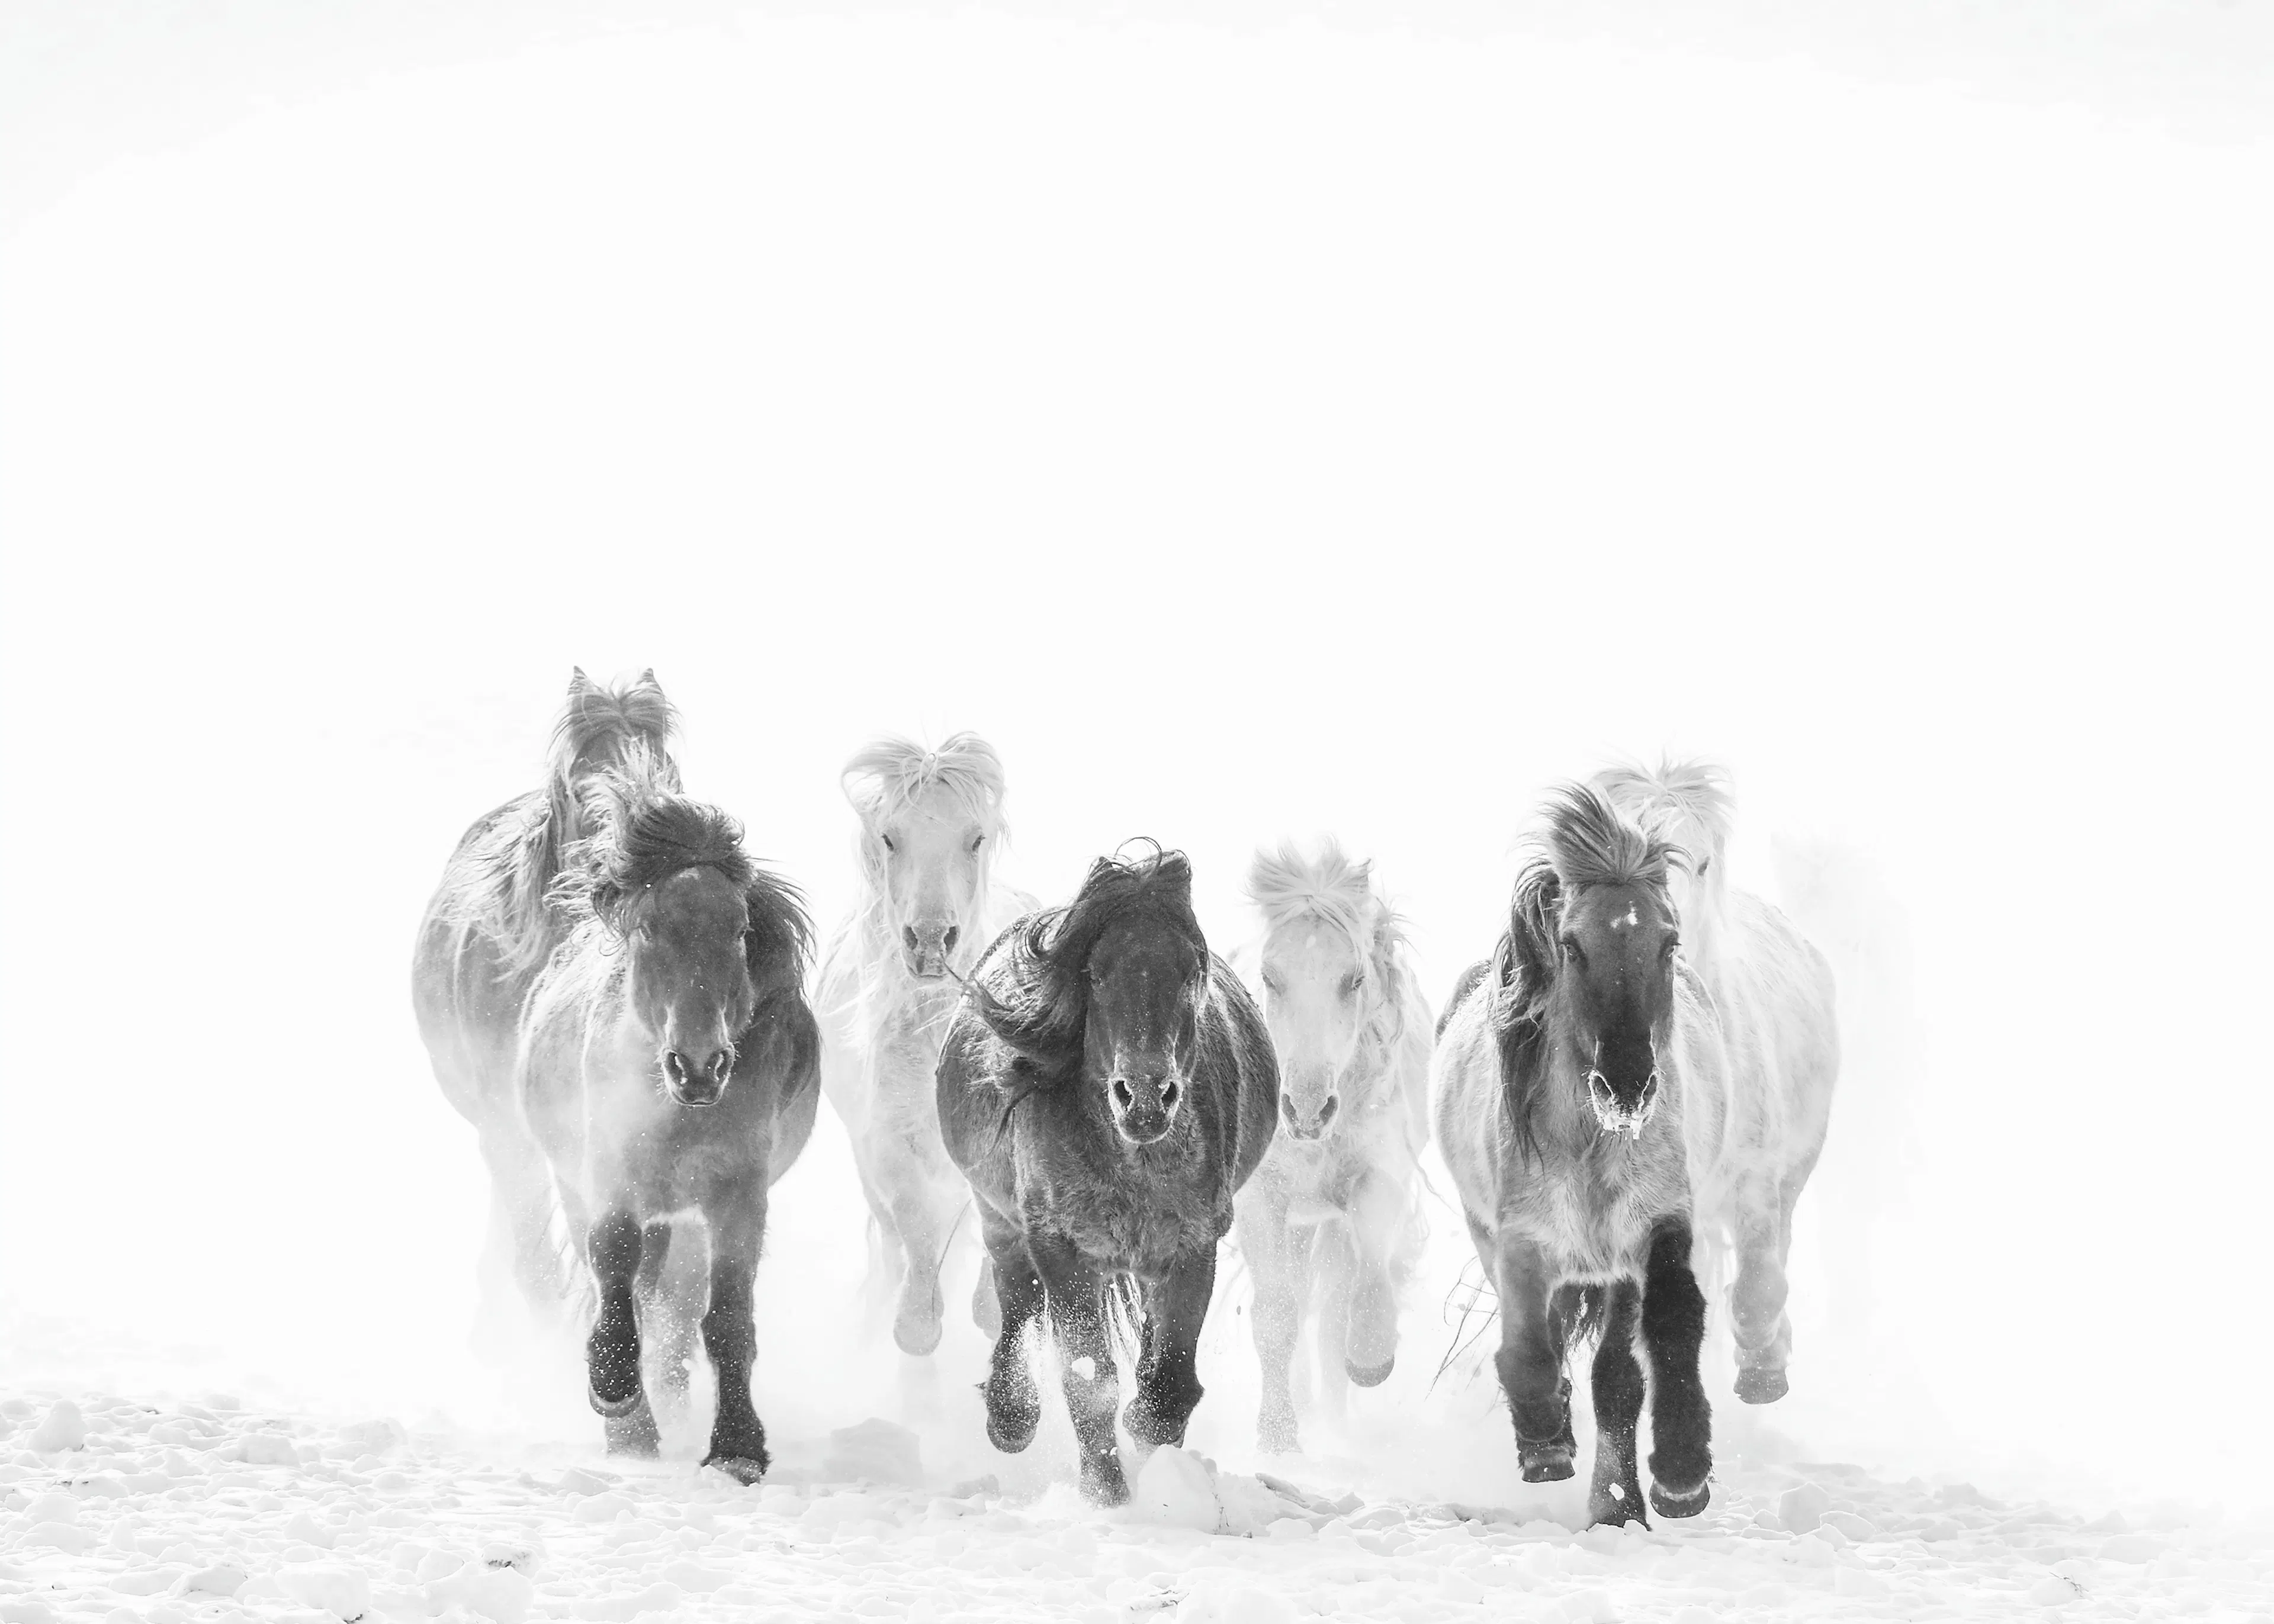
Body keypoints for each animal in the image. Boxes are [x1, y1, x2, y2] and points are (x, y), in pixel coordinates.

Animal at [518, 743, 820, 1481]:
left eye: (740, 931)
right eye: (650, 930)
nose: (699, 1065)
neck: (679, 1114)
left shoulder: (737, 1196)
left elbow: (727, 1317)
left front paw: (738, 1445)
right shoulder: (612, 1176)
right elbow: (613, 1262)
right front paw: (617, 1396)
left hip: (683, 1219)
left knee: (674, 1308)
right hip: (578, 1184)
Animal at [814, 734, 1033, 1356]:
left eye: (975, 837)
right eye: (890, 836)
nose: (932, 939)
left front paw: (991, 1307)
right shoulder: (887, 1142)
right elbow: (916, 1223)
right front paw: (917, 1320)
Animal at [935, 845, 1278, 1505]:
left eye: (1191, 972)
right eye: (1095, 974)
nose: (1144, 1095)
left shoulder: (1192, 1245)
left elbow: (1167, 1385)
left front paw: (1151, 1457)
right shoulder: (1062, 1246)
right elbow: (1087, 1377)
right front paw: (1108, 1495)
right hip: (1001, 1222)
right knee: (1017, 1300)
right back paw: (1010, 1418)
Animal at [1231, 840, 1432, 1454]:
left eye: (1355, 977)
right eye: (1270, 976)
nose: (1306, 1108)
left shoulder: (1377, 1182)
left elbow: (1363, 1291)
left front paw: (1370, 1356)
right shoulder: (1259, 1199)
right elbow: (1276, 1316)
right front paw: (1279, 1437)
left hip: (1329, 1223)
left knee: (1333, 1308)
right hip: (1299, 1222)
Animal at [1432, 781, 1836, 1527]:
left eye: (1667, 940)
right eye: (1571, 945)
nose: (1628, 1084)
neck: (1590, 1143)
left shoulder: (1655, 1228)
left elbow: (1664, 1334)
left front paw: (1672, 1479)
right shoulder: (1519, 1240)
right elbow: (1528, 1346)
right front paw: (1546, 1443)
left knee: (1618, 1368)